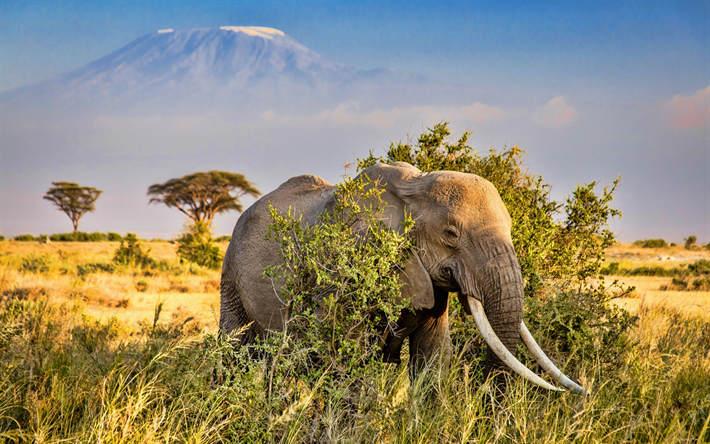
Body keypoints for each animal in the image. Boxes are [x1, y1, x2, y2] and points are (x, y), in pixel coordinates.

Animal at [222, 161, 588, 394]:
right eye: (451, 234)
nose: (584, 391)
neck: (414, 187)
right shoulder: (343, 266)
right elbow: (346, 356)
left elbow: (432, 358)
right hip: (231, 275)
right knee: (235, 351)